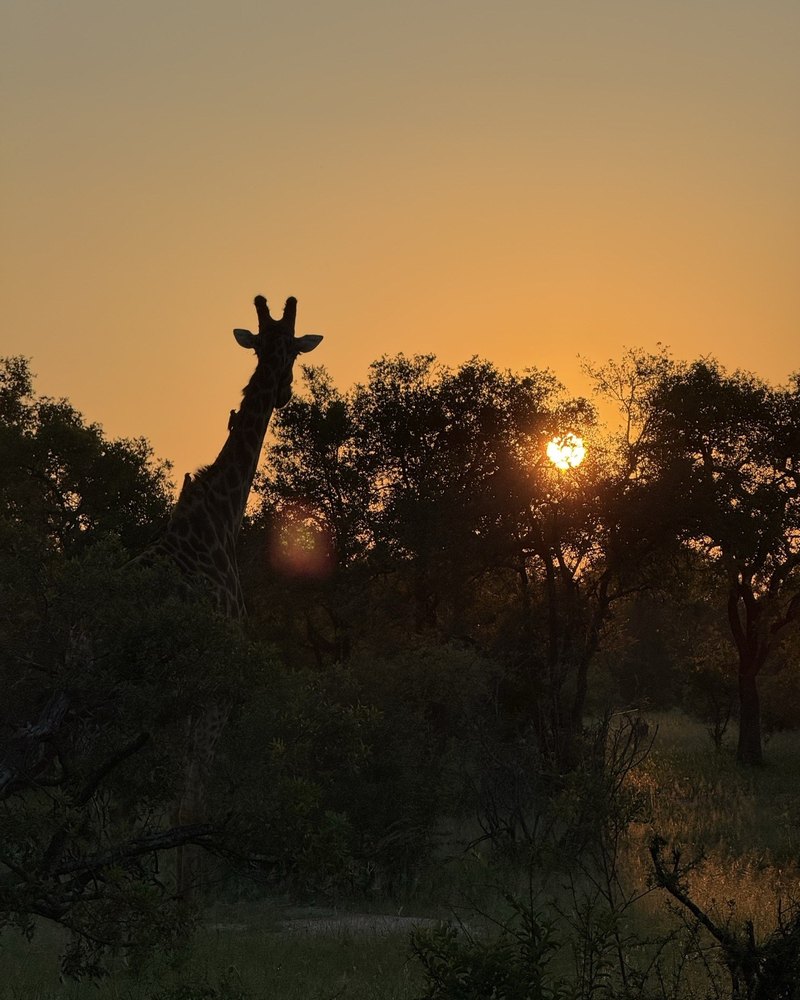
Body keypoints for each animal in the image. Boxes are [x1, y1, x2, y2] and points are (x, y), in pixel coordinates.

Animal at [148, 293, 322, 893]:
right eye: (289, 350)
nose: (285, 391)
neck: (220, 519)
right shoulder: (216, 689)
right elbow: (191, 802)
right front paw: (188, 898)